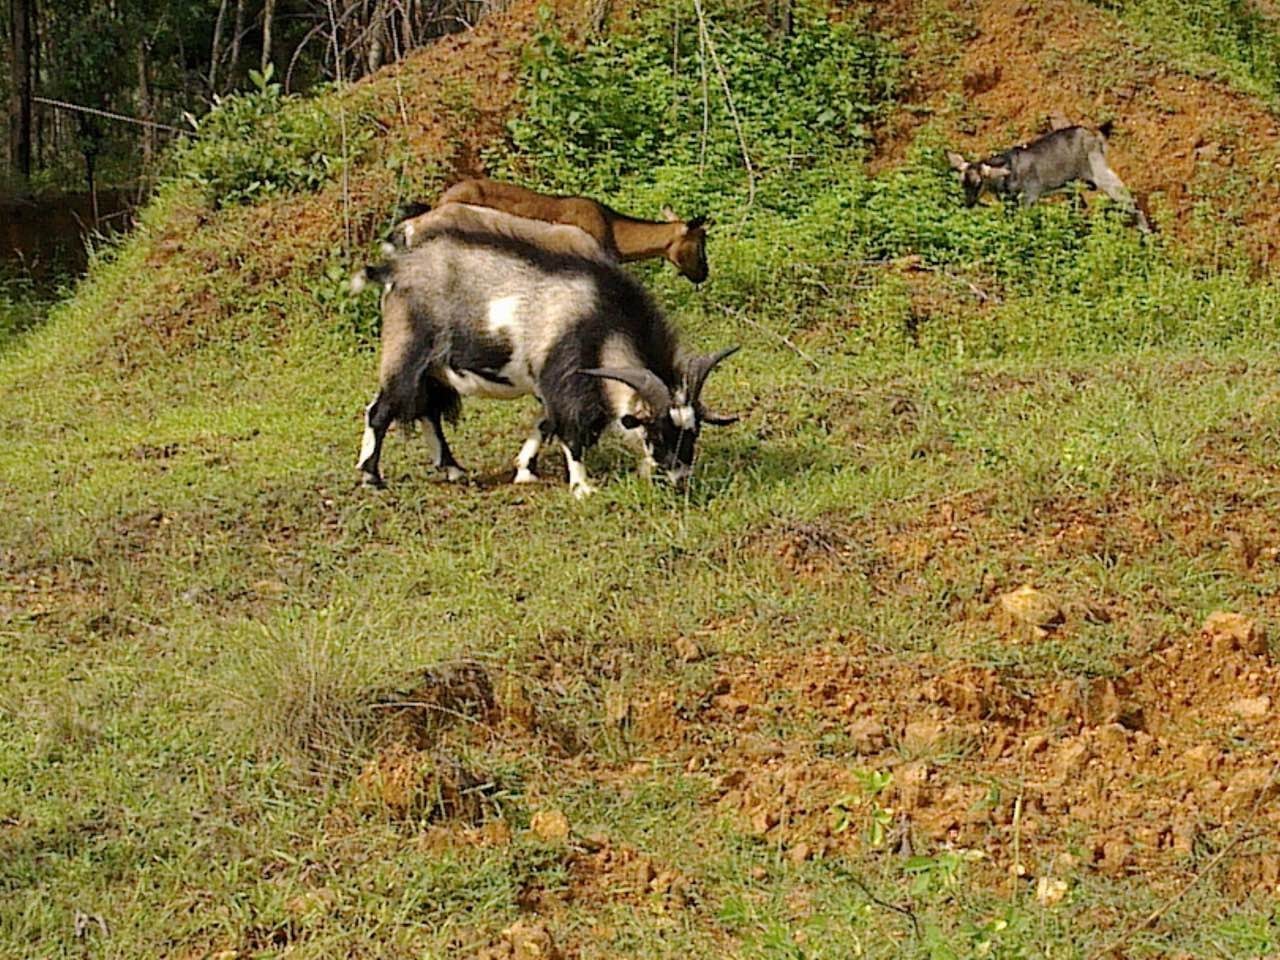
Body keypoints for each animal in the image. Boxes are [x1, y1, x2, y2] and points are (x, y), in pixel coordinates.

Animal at [350, 213, 742, 496]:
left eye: (693, 433)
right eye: (656, 433)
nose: (678, 480)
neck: (599, 316)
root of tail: (395, 270)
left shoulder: (550, 383)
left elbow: (545, 422)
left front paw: (525, 470)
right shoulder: (562, 373)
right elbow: (570, 429)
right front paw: (582, 487)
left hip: (434, 368)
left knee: (429, 410)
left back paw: (453, 469)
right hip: (407, 350)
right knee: (381, 409)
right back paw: (371, 478)